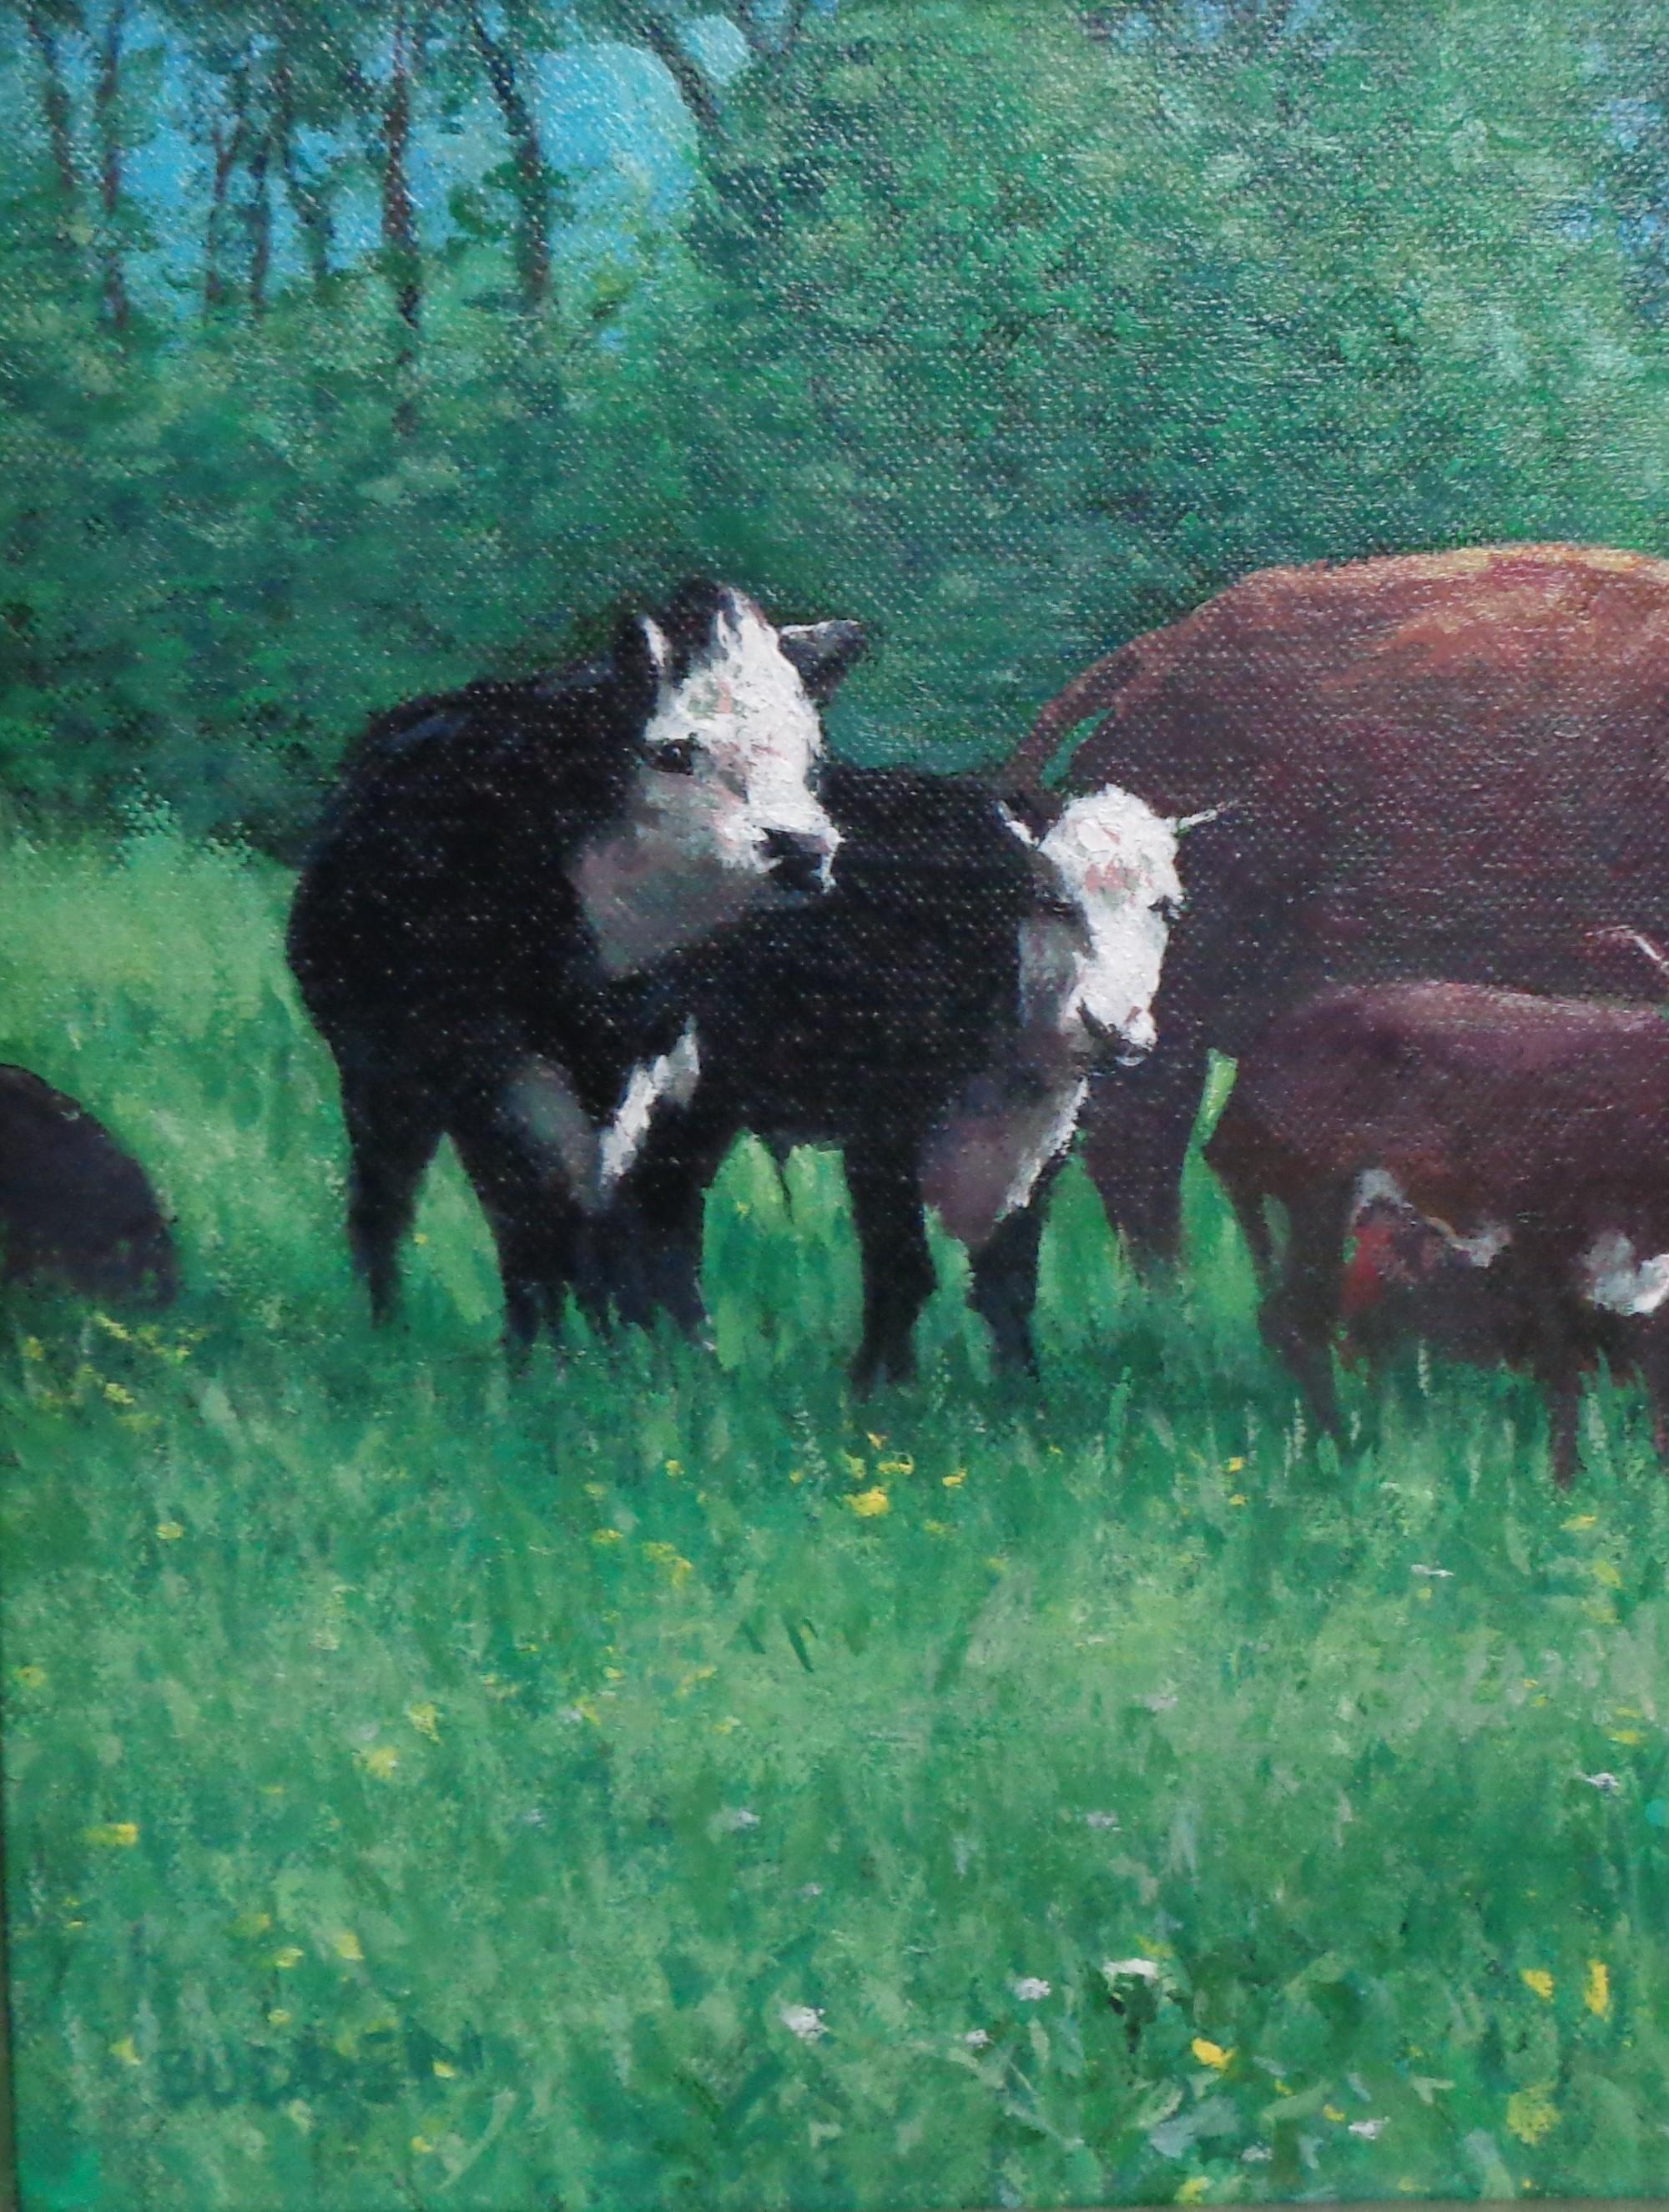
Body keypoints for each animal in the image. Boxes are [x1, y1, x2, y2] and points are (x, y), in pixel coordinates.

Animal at [287, 580, 866, 1344]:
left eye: (812, 757)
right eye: (673, 751)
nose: (803, 848)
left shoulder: (687, 1089)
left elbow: (658, 1235)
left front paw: (679, 1354)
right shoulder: (494, 1074)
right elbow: (528, 1223)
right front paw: (540, 1358)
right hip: (380, 1073)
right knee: (383, 1199)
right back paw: (383, 1328)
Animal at [591, 763, 1191, 1386]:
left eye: (1167, 908)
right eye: (1055, 903)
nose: (1112, 1026)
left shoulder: (1043, 1144)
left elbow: (1009, 1276)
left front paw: (1020, 1388)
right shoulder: (882, 1132)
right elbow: (902, 1267)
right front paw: (882, 1386)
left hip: (703, 1103)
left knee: (664, 1209)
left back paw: (685, 1359)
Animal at [1204, 981, 1669, 1484]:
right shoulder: (1540, 1241)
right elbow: (1564, 1363)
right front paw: (1566, 1480)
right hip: (1317, 1203)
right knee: (1297, 1320)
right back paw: (1343, 1456)